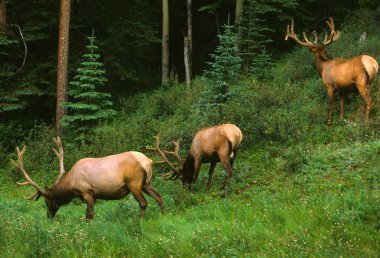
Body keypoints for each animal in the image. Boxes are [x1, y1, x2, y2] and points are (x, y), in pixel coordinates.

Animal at [10, 137, 163, 220]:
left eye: (47, 201)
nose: (49, 215)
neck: (71, 185)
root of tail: (148, 161)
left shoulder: (87, 191)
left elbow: (89, 214)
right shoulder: (93, 195)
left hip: (134, 184)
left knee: (143, 202)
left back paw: (138, 221)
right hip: (146, 183)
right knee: (159, 196)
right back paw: (164, 214)